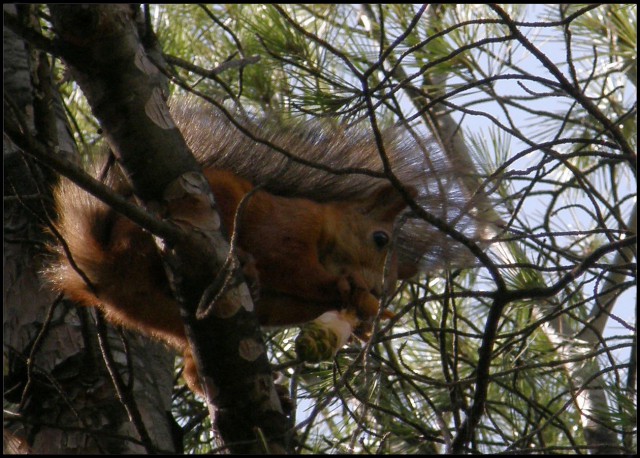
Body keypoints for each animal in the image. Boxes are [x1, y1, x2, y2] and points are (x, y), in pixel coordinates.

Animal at [45, 99, 484, 394]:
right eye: (380, 239)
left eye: (394, 285)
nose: (377, 290)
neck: (325, 235)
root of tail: (102, 262)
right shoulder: (287, 233)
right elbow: (295, 269)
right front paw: (342, 290)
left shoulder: (288, 302)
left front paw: (362, 320)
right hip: (159, 237)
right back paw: (241, 262)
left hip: (159, 316)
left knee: (189, 358)